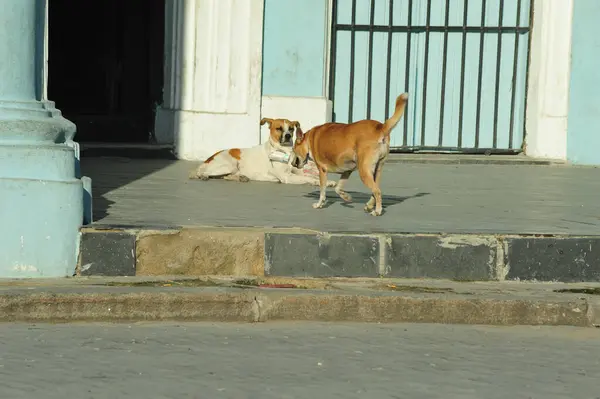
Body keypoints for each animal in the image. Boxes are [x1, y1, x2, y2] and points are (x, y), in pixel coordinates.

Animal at [189, 117, 338, 188]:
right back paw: (202, 176)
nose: (288, 136)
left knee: (226, 177)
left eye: (291, 128)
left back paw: (241, 177)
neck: (284, 151)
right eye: (279, 128)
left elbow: (313, 176)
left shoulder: (297, 172)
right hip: (228, 165)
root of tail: (209, 159)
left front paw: (329, 182)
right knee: (201, 173)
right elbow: (309, 179)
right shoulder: (287, 177)